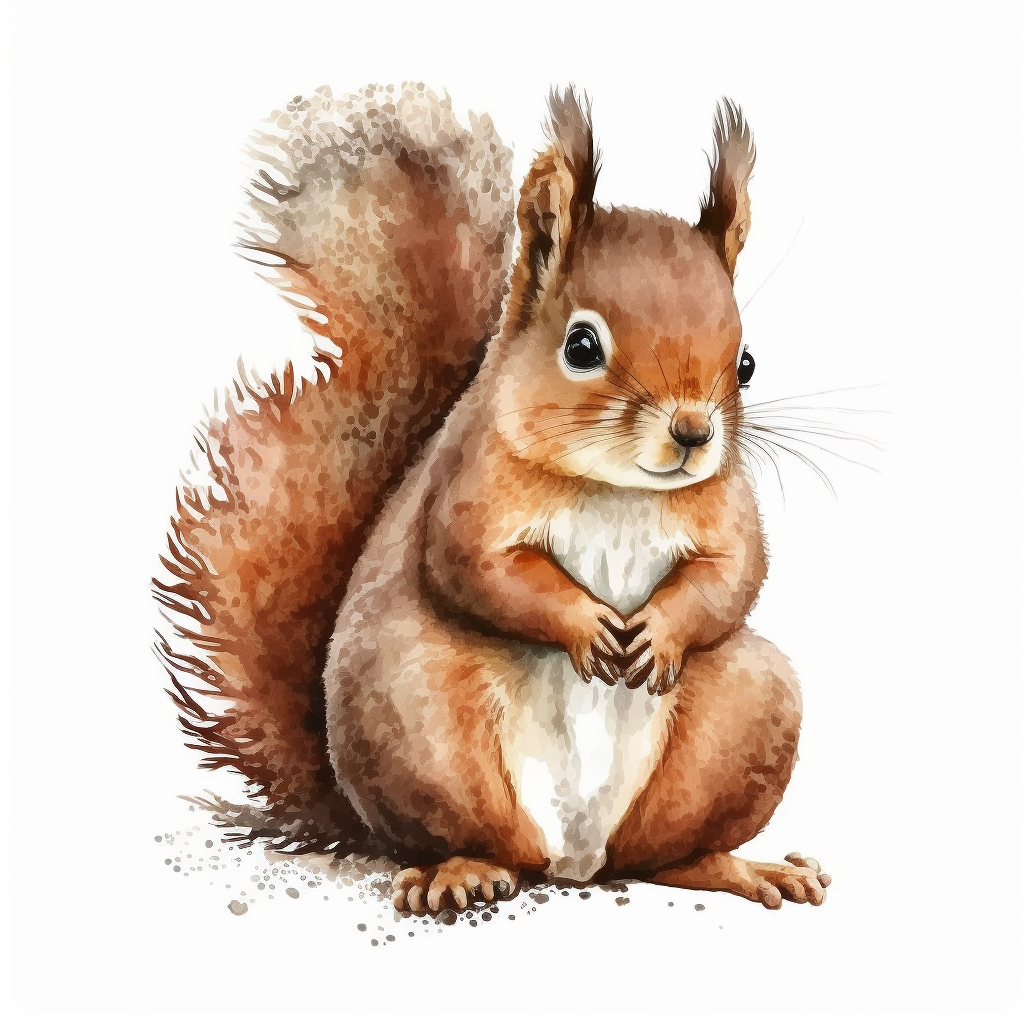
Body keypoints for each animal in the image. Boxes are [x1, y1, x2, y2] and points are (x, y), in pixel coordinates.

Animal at [155, 82, 831, 913]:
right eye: (581, 345)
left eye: (746, 364)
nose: (694, 433)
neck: (617, 488)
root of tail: (576, 859)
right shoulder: (468, 487)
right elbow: (477, 570)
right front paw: (586, 625)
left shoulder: (725, 507)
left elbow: (733, 576)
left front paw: (659, 632)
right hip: (417, 716)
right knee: (478, 840)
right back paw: (463, 872)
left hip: (749, 711)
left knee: (663, 855)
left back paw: (737, 867)